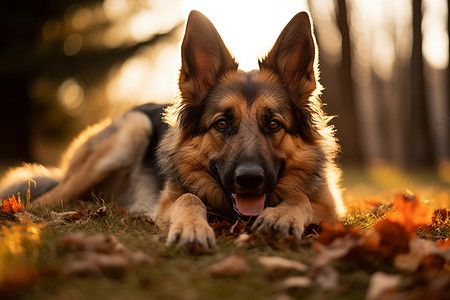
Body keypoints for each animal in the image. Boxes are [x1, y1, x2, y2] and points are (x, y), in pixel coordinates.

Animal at [0, 10, 344, 247]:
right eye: (222, 123)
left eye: (273, 124)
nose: (249, 180)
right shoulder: (169, 200)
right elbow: (187, 199)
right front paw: (191, 227)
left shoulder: (330, 206)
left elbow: (299, 197)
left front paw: (281, 216)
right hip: (132, 130)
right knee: (46, 200)